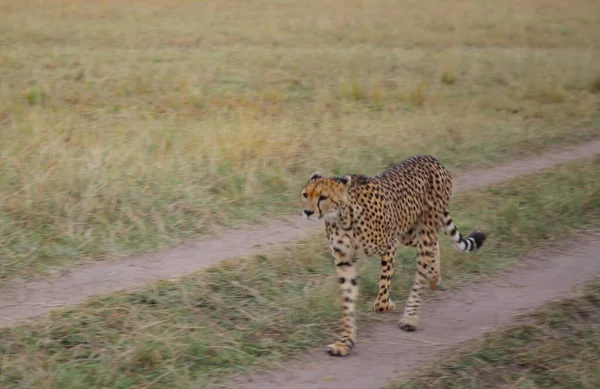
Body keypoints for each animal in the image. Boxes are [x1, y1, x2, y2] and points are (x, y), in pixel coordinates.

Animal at [300, 154, 488, 354]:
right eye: (305, 195)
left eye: (323, 197)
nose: (307, 212)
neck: (342, 217)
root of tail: (430, 158)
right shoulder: (345, 260)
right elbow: (347, 300)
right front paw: (345, 342)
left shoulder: (389, 246)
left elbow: (381, 296)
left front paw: (389, 304)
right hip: (408, 232)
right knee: (435, 243)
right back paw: (434, 276)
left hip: (424, 229)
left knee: (422, 267)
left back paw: (410, 317)